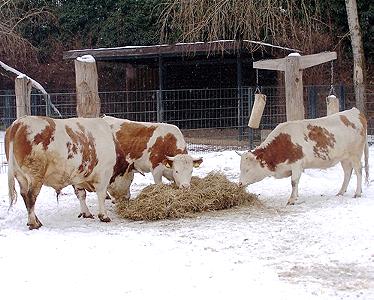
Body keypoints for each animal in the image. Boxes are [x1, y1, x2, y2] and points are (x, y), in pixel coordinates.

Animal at [240, 107, 368, 204]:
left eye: (247, 169)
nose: (240, 184)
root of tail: (355, 111)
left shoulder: (296, 164)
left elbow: (294, 181)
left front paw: (292, 200)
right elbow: (296, 182)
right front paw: (296, 196)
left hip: (355, 154)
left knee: (358, 171)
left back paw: (357, 193)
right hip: (344, 158)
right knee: (347, 172)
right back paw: (341, 192)